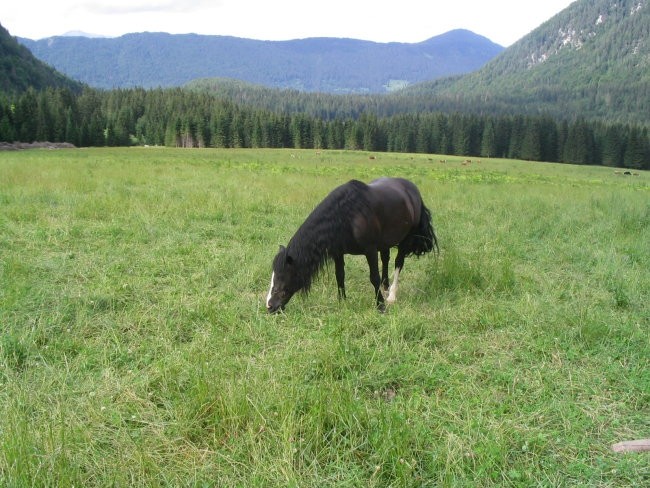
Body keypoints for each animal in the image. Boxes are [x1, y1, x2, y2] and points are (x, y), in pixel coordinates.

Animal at [266, 178, 438, 312]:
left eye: (283, 276)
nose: (270, 306)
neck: (347, 217)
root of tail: (413, 190)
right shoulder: (338, 252)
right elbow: (340, 276)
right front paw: (342, 301)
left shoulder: (370, 250)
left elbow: (373, 277)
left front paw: (380, 306)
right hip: (385, 242)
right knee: (386, 260)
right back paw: (385, 289)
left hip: (405, 240)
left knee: (398, 263)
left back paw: (391, 296)